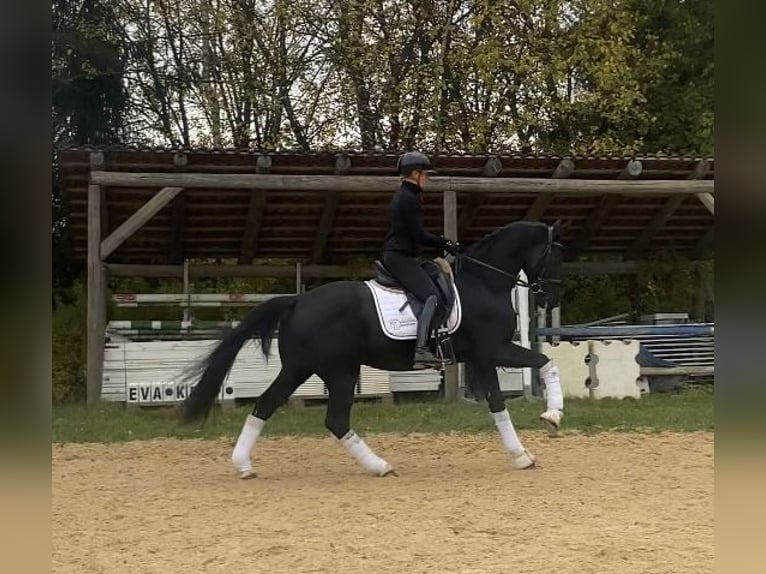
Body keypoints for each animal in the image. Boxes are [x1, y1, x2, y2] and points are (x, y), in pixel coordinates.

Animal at [183, 223, 568, 480]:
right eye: (556, 256)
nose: (551, 298)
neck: (484, 283)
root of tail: (298, 301)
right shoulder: (491, 352)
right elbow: (527, 379)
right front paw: (544, 426)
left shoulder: (481, 357)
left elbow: (515, 388)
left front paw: (534, 438)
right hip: (338, 371)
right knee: (334, 419)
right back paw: (380, 466)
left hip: (301, 369)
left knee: (267, 405)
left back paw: (244, 465)